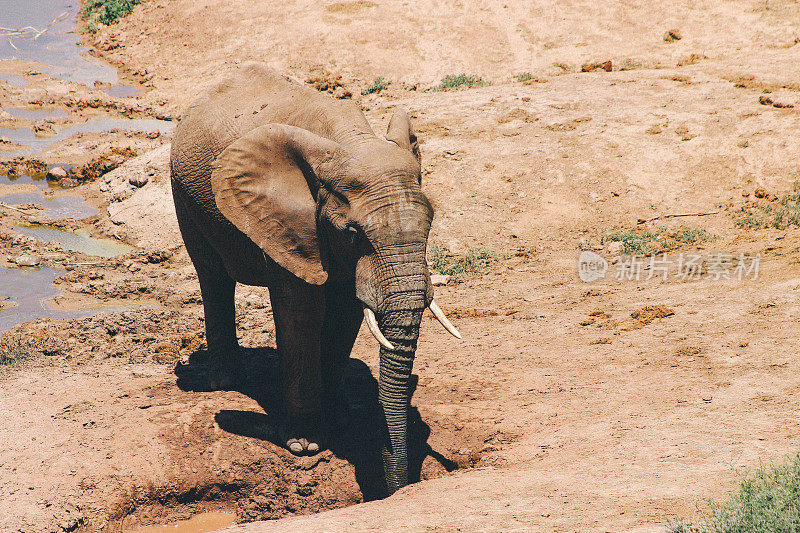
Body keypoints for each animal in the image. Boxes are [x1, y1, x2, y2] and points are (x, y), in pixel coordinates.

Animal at [172, 64, 460, 492]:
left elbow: (346, 312)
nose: (401, 486)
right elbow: (301, 313)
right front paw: (305, 445)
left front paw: (337, 422)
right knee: (212, 277)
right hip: (182, 194)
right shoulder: (288, 220)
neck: (350, 141)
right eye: (354, 233)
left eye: (432, 220)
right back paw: (224, 380)